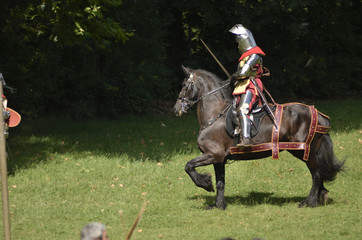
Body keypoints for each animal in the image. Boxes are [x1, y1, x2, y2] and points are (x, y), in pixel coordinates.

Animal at [174, 66, 344, 209]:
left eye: (184, 85)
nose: (176, 109)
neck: (215, 114)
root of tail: (318, 114)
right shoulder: (219, 159)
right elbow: (220, 182)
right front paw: (218, 205)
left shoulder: (213, 155)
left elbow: (188, 166)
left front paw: (205, 184)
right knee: (319, 173)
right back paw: (320, 196)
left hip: (305, 152)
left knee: (316, 175)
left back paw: (310, 202)